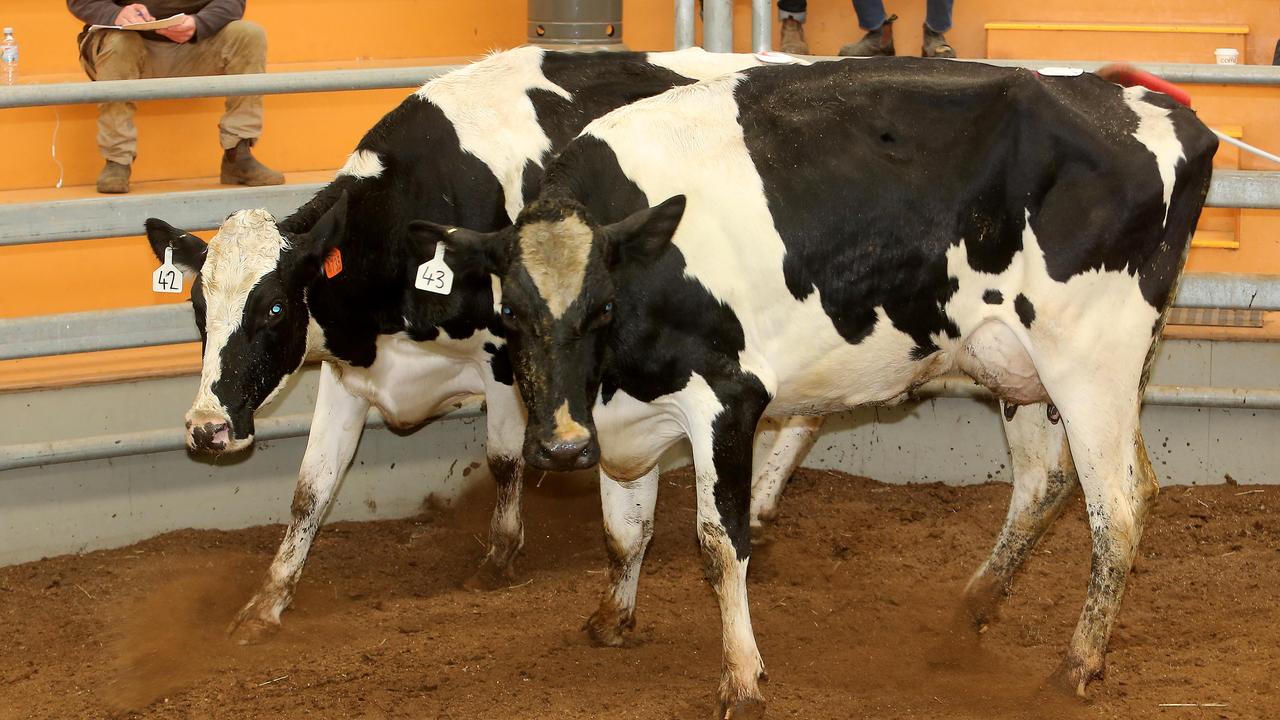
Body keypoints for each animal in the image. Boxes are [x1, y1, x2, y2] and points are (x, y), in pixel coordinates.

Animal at [140, 47, 819, 640]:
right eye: (199, 308)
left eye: (276, 307)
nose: (206, 429)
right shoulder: (349, 369)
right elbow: (312, 488)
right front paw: (267, 601)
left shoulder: (504, 356)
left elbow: (503, 460)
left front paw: (499, 558)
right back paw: (762, 506)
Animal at [422, 58, 1218, 712]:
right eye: (509, 312)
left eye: (603, 308)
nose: (558, 449)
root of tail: (1156, 108)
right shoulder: (619, 421)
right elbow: (623, 532)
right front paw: (610, 620)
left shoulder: (727, 397)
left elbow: (719, 540)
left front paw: (742, 679)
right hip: (1019, 364)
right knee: (1043, 484)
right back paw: (970, 610)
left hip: (1090, 358)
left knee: (1118, 505)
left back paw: (1078, 664)